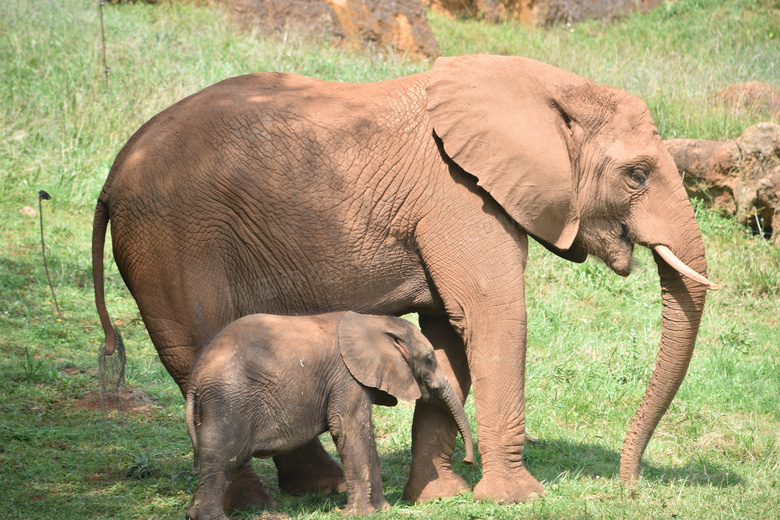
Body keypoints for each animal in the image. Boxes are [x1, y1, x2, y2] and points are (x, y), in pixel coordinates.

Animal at [185, 310, 472, 516]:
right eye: (430, 360)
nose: (468, 461)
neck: (373, 322)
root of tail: (194, 380)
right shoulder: (346, 378)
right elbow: (348, 431)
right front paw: (360, 514)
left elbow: (364, 434)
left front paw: (381, 510)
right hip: (227, 400)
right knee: (222, 458)